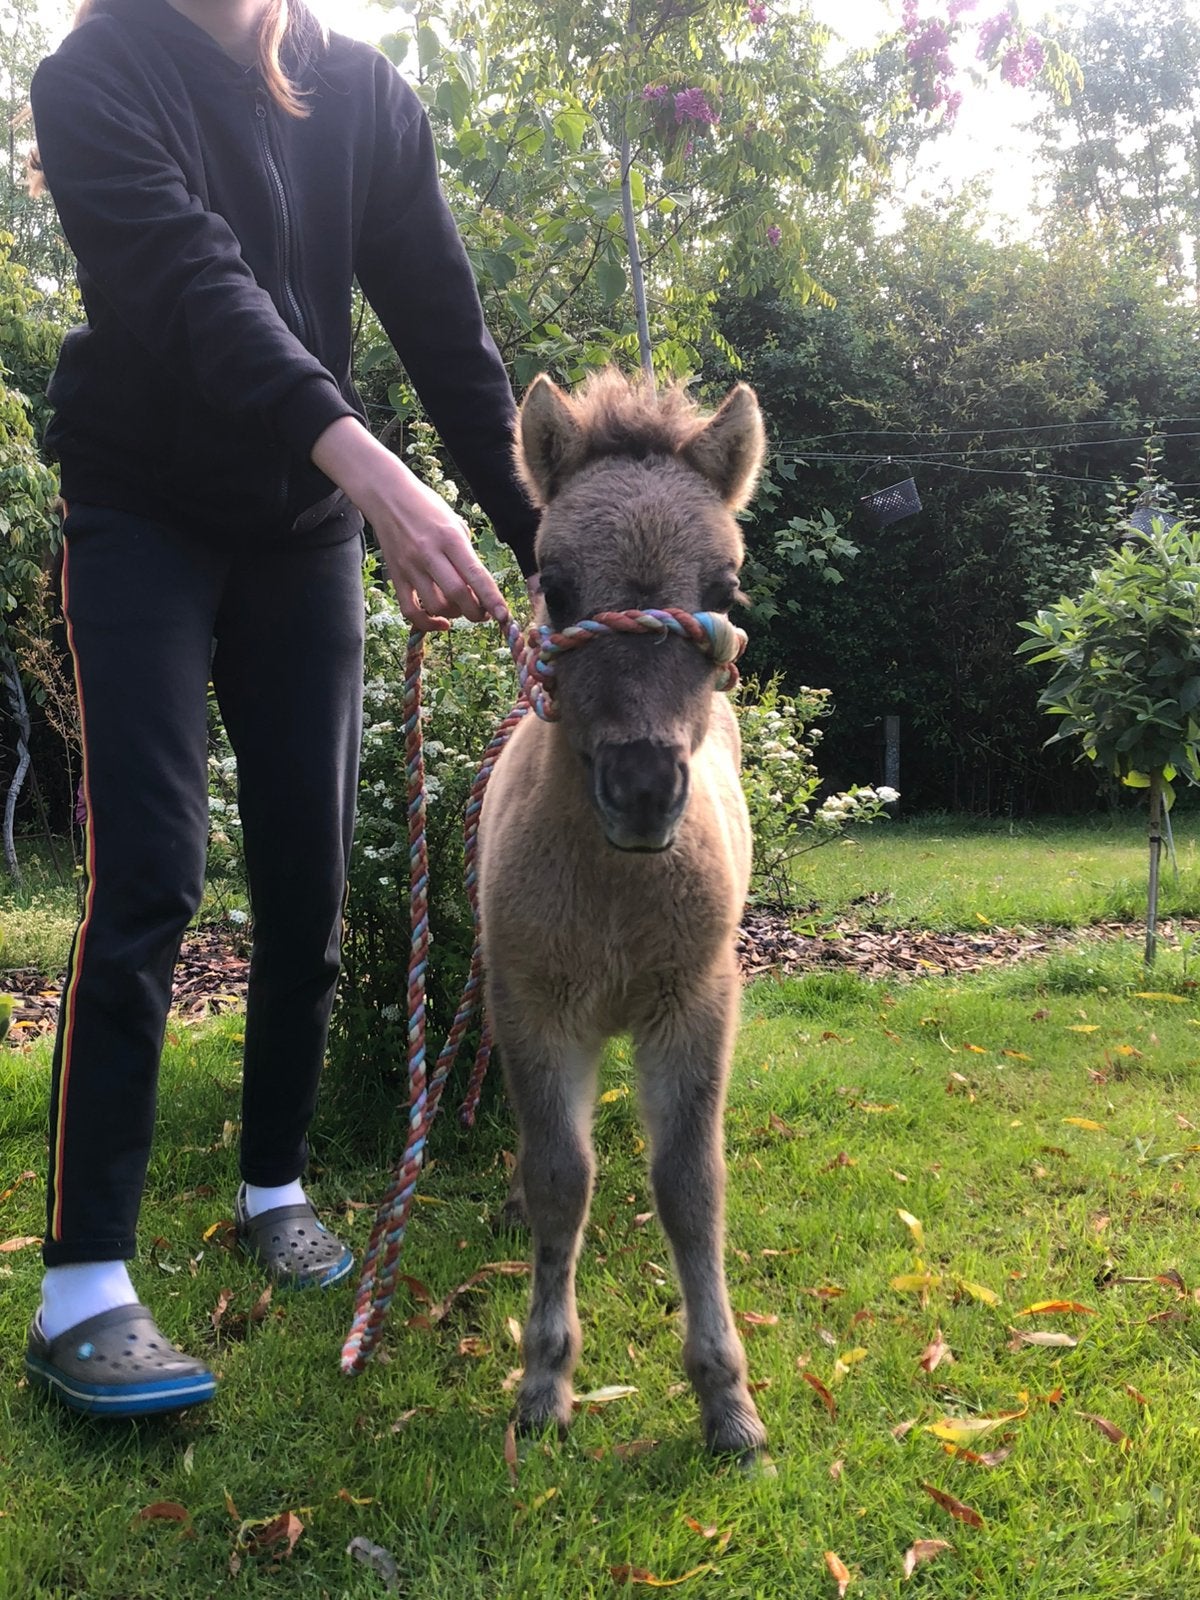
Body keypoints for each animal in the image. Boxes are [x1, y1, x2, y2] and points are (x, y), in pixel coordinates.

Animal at [477, 368, 768, 1458]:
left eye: (723, 591)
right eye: (555, 584)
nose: (643, 788)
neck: (613, 891)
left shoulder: (694, 1001)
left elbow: (690, 1185)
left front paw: (727, 1400)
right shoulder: (531, 1004)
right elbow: (563, 1176)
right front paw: (543, 1382)